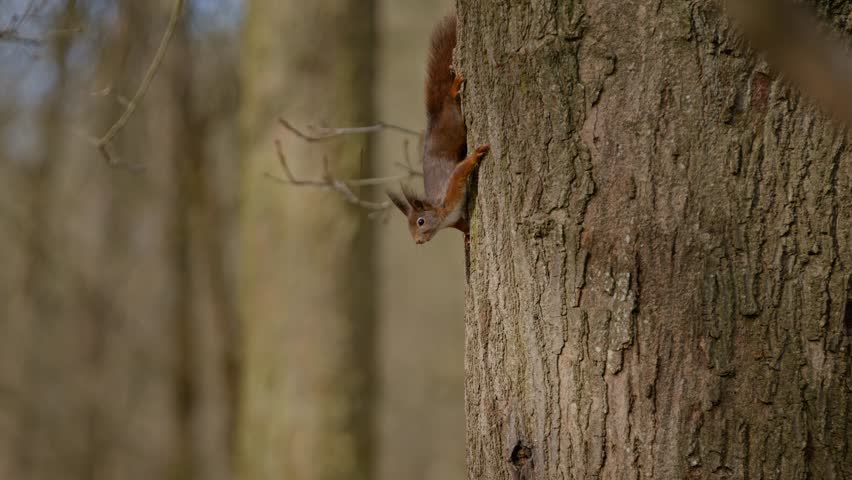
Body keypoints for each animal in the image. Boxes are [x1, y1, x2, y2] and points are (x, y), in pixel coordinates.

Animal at [388, 15, 490, 245]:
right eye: (409, 226)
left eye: (420, 222)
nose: (417, 241)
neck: (442, 218)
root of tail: (434, 116)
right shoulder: (455, 219)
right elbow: (463, 226)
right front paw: (467, 236)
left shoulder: (449, 194)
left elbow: (460, 170)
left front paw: (475, 156)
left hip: (453, 119)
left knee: (450, 98)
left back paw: (454, 87)